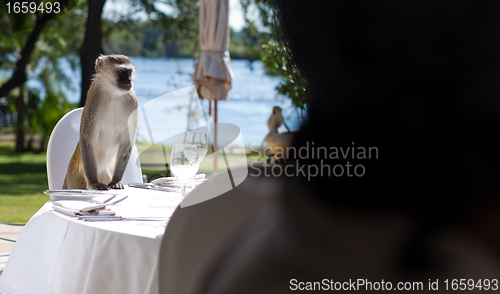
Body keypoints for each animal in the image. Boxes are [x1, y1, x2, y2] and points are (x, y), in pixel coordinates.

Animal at [64, 54, 140, 189]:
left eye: (129, 72)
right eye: (122, 72)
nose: (129, 81)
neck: (113, 95)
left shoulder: (133, 101)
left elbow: (127, 141)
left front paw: (116, 181)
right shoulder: (94, 97)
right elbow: (87, 139)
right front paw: (94, 182)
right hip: (75, 179)